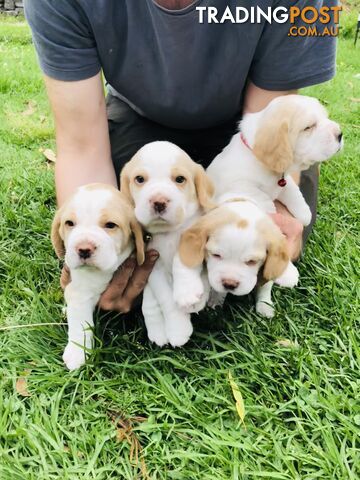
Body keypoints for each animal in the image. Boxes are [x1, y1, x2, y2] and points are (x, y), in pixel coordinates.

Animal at [52, 184, 145, 372]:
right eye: (69, 223)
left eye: (110, 225)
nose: (84, 249)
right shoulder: (81, 290)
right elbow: (80, 320)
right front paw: (78, 351)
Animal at [121, 141, 214, 346]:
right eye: (139, 179)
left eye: (180, 179)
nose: (159, 201)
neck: (168, 233)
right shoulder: (153, 266)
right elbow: (167, 300)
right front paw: (178, 329)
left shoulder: (196, 236)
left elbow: (182, 258)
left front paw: (188, 292)